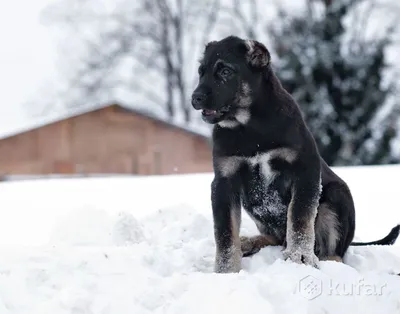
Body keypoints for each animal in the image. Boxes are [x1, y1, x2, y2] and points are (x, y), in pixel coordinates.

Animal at [191, 35, 400, 274]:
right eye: (201, 72)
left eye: (225, 71)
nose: (195, 98)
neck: (249, 127)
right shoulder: (224, 181)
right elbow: (225, 232)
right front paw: (226, 271)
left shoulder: (305, 171)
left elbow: (299, 217)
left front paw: (299, 257)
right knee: (275, 238)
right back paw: (248, 242)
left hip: (338, 196)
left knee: (335, 252)